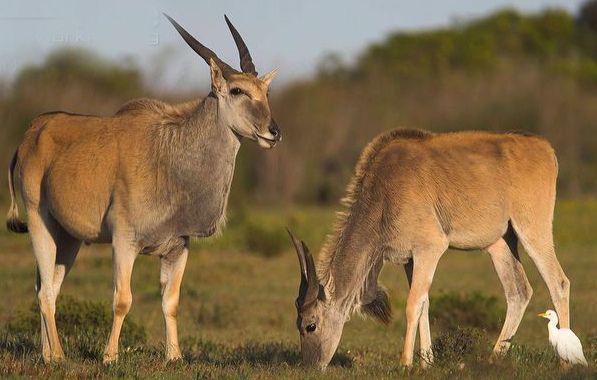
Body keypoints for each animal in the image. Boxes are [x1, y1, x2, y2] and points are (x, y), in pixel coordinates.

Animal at [6, 14, 282, 366]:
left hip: (68, 239)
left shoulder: (178, 247)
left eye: (265, 91)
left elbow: (171, 301)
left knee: (47, 288)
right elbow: (122, 299)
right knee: (45, 293)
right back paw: (58, 356)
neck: (170, 152)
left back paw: (48, 354)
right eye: (237, 90)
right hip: (39, 223)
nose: (273, 132)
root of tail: (33, 132)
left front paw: (174, 356)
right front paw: (110, 357)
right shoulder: (125, 241)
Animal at [286, 127, 572, 368]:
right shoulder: (410, 259)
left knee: (558, 283)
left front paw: (406, 363)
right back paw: (493, 359)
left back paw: (565, 362)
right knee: (519, 292)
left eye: (310, 325)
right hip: (501, 243)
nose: (310, 367)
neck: (383, 193)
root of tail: (546, 149)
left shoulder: (430, 248)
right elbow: (424, 302)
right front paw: (427, 363)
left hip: (533, 230)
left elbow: (413, 304)